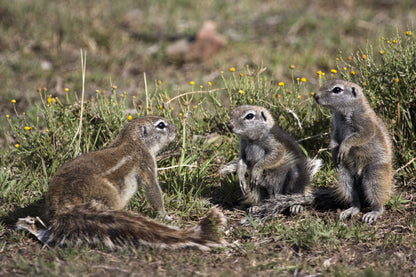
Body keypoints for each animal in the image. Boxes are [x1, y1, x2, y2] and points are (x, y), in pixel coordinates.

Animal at [16, 115, 226, 249]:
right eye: (161, 125)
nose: (176, 129)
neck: (132, 140)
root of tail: (63, 207)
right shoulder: (146, 164)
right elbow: (153, 190)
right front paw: (165, 215)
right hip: (107, 196)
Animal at [316, 79, 394, 222]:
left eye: (337, 90)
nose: (315, 96)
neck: (343, 113)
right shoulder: (336, 129)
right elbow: (334, 140)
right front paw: (335, 154)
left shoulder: (365, 124)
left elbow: (357, 137)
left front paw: (344, 147)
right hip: (345, 177)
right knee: (356, 201)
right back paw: (350, 210)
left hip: (375, 175)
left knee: (378, 198)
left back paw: (373, 213)